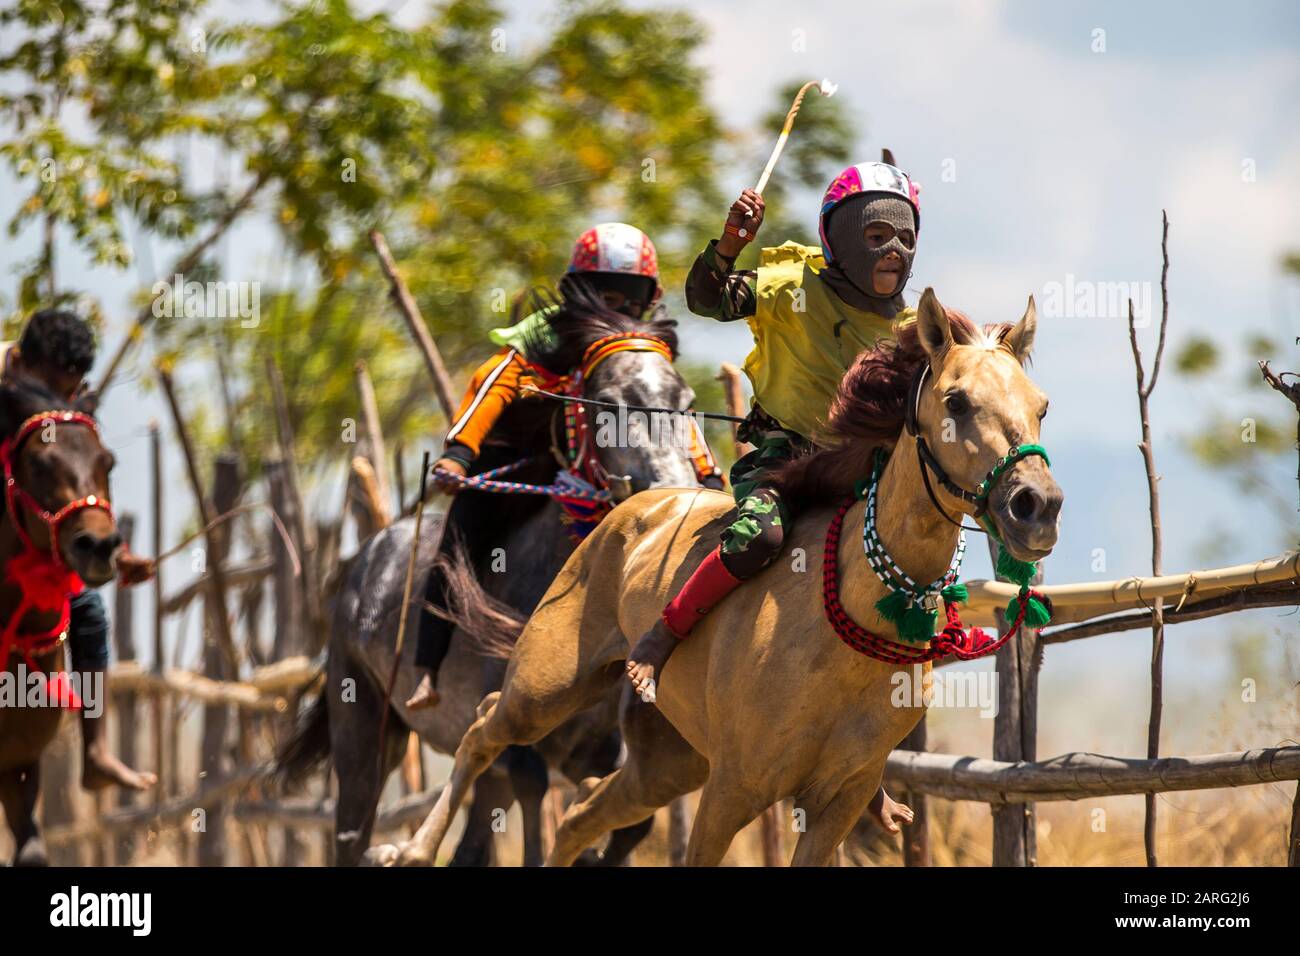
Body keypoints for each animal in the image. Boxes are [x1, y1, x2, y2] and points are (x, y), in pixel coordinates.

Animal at [279, 293, 717, 868]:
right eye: (605, 400)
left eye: (685, 399)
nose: (674, 489)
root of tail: (364, 559)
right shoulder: (524, 736)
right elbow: (535, 799)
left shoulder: (594, 749)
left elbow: (627, 824)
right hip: (364, 735)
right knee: (355, 826)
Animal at [379, 286, 1066, 868]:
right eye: (956, 400)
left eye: (1041, 407)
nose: (1036, 505)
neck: (846, 628)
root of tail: (625, 506)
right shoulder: (733, 790)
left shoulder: (838, 801)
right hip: (546, 687)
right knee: (484, 729)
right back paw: (411, 848)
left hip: (664, 765)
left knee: (579, 815)